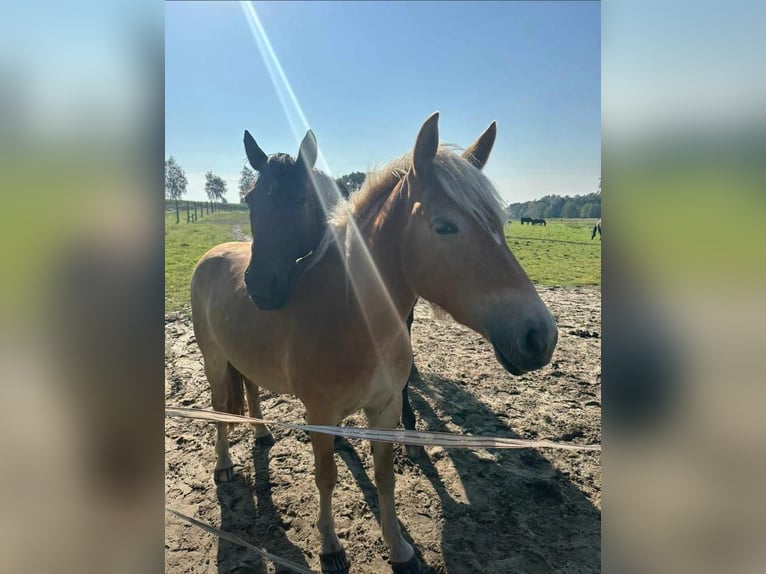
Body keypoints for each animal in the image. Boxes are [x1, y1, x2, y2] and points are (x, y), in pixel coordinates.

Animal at [191, 113, 560, 574]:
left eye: (498, 224)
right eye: (444, 226)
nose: (540, 335)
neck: (353, 317)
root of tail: (214, 253)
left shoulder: (385, 409)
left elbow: (385, 477)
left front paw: (399, 548)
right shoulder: (321, 416)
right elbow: (326, 476)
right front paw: (330, 547)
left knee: (251, 391)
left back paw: (260, 434)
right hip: (214, 362)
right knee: (220, 407)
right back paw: (223, 465)